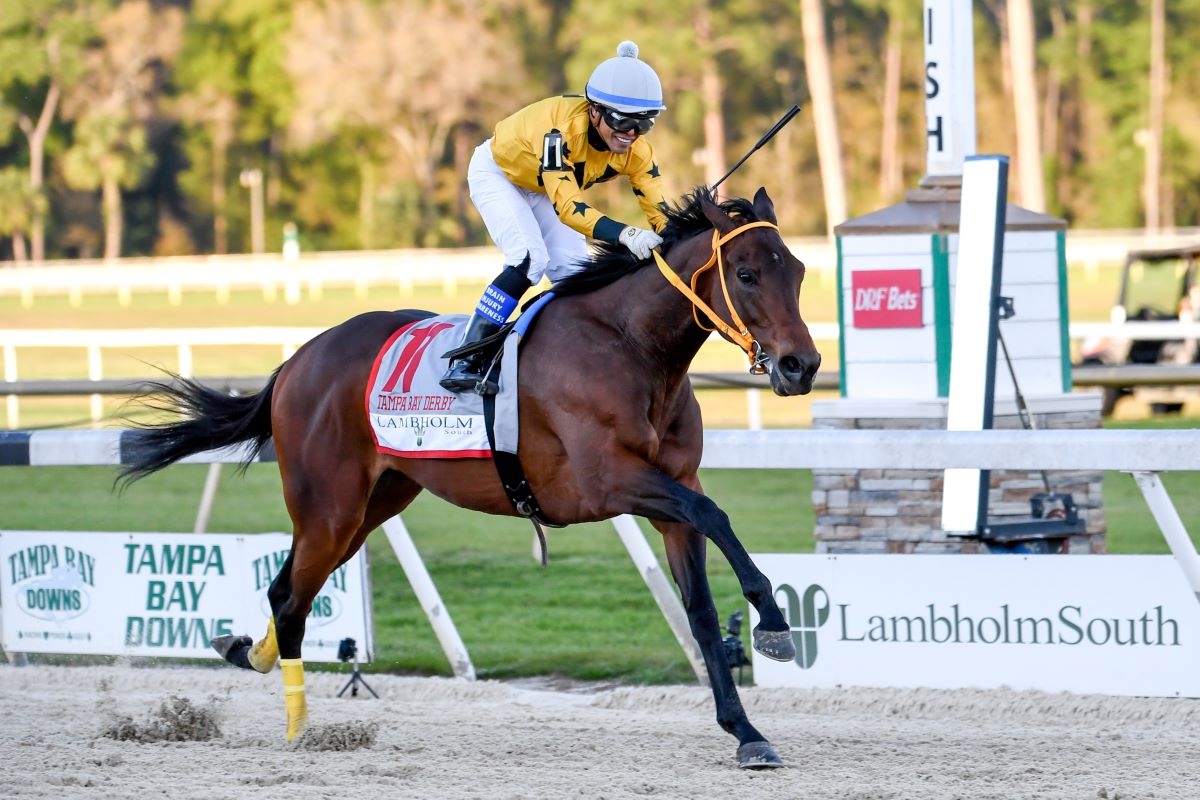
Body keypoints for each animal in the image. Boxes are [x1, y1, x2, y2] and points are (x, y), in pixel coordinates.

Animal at [117, 188, 820, 767]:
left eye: (799, 271)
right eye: (747, 273)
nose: (801, 365)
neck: (631, 346)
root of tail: (297, 360)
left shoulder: (674, 489)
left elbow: (700, 604)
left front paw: (746, 730)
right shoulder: (607, 482)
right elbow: (716, 516)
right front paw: (773, 622)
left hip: (375, 503)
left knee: (283, 589)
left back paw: (244, 651)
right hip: (329, 507)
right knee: (291, 600)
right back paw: (299, 730)